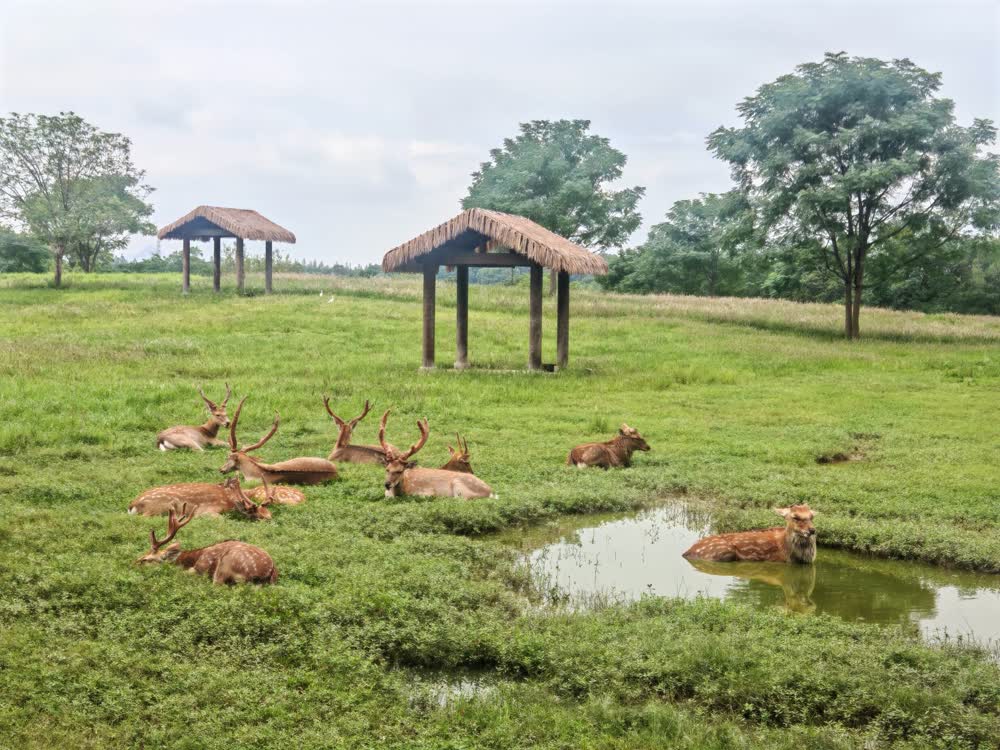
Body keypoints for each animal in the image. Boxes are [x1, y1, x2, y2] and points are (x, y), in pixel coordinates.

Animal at [128, 476, 273, 520]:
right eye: (258, 515)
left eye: (269, 513)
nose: (270, 519)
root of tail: (132, 505)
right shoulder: (205, 510)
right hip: (159, 507)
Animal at [136, 505, 278, 584]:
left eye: (145, 560)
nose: (133, 564)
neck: (193, 558)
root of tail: (269, 571)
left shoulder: (200, 567)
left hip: (226, 565)